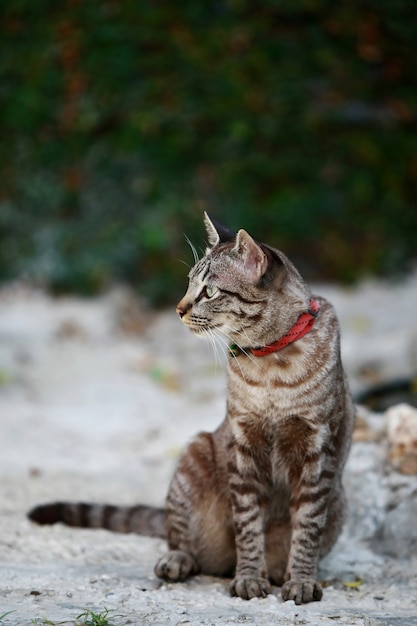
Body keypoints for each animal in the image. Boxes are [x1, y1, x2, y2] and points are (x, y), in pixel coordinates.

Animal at [29, 212, 352, 604]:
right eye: (188, 285)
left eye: (209, 291)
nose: (179, 309)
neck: (271, 365)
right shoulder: (244, 444)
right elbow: (248, 525)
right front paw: (249, 578)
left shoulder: (316, 451)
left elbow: (306, 526)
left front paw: (301, 580)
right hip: (194, 457)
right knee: (183, 542)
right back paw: (180, 562)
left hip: (339, 501)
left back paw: (278, 572)